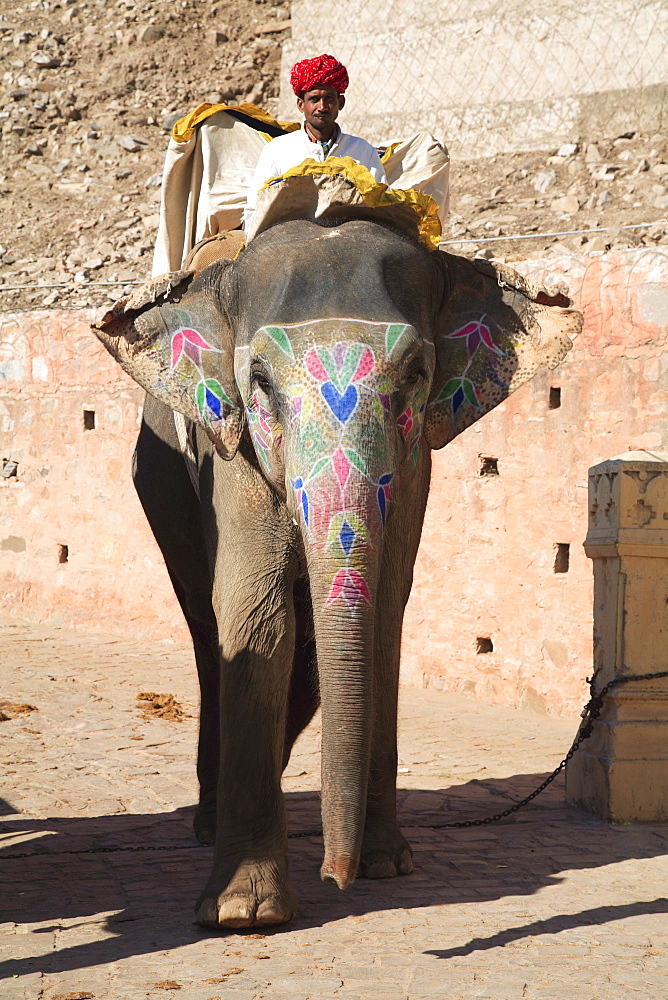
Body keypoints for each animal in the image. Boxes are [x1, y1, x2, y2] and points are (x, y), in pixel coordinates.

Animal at [94, 178, 580, 928]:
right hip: (162, 484)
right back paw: (207, 821)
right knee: (206, 624)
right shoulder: (232, 450)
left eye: (415, 374)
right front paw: (243, 913)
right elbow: (256, 616)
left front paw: (386, 865)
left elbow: (381, 614)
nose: (336, 875)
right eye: (260, 382)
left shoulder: (415, 465)